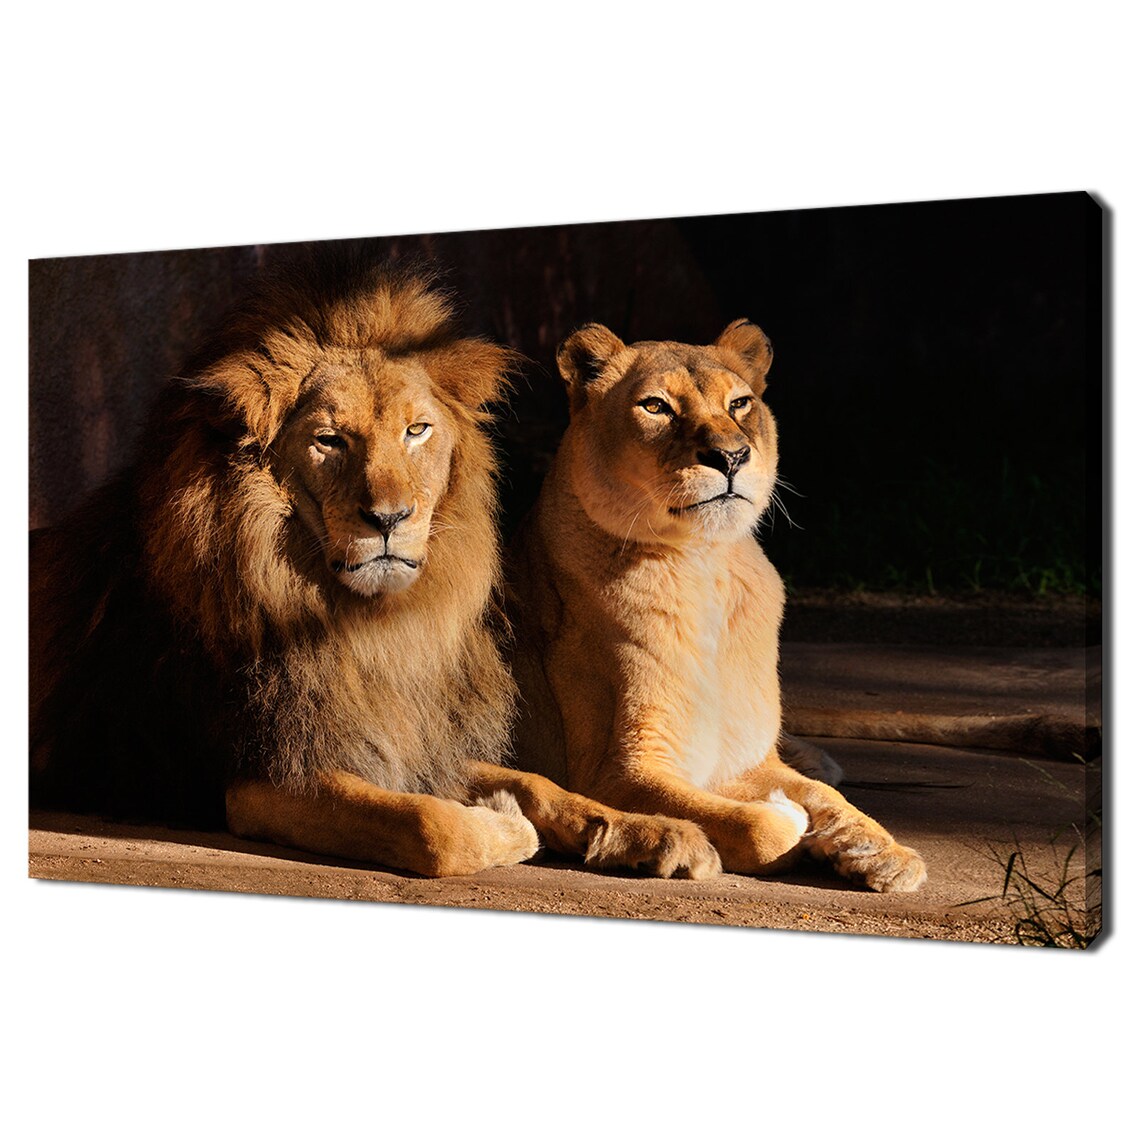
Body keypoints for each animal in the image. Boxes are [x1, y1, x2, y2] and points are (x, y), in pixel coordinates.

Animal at [29, 254, 721, 881]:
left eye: (417, 431)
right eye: (329, 440)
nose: (389, 519)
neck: (377, 629)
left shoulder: (412, 729)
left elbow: (542, 783)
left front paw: (655, 832)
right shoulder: (264, 774)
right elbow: (431, 824)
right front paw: (505, 824)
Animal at [509, 319, 927, 892]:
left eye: (740, 404)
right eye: (656, 407)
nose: (730, 456)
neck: (705, 565)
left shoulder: (744, 758)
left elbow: (830, 799)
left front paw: (886, 853)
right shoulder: (615, 773)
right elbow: (759, 826)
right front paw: (790, 822)